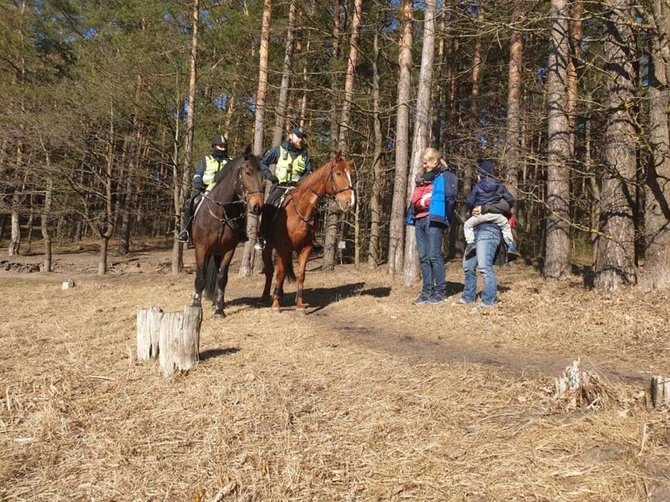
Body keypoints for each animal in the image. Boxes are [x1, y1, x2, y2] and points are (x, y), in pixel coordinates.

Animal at [192, 148, 266, 318]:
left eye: (262, 176)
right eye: (247, 172)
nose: (258, 206)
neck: (221, 214)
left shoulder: (228, 250)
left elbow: (222, 278)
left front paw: (219, 310)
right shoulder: (201, 248)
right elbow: (200, 277)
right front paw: (196, 305)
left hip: (217, 252)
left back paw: (216, 302)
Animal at [262, 151, 356, 312]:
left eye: (351, 175)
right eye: (338, 173)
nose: (350, 202)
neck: (300, 209)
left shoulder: (306, 247)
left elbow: (301, 275)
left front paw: (299, 304)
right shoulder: (283, 248)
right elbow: (279, 274)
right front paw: (275, 304)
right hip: (268, 247)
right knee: (269, 272)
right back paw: (266, 297)